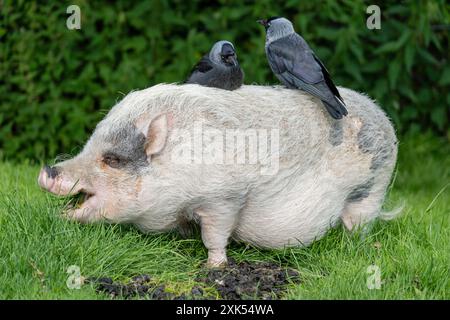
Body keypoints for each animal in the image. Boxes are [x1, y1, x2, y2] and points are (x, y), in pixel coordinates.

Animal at [38, 83, 398, 268]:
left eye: (112, 159)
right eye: (89, 144)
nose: (47, 170)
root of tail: (385, 118)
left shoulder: (225, 197)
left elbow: (215, 235)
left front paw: (214, 267)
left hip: (373, 187)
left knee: (358, 223)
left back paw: (353, 248)